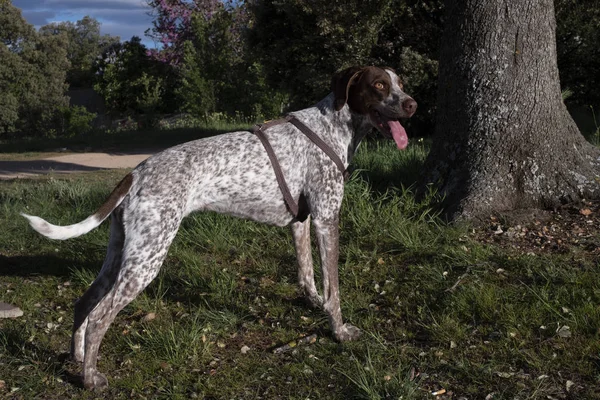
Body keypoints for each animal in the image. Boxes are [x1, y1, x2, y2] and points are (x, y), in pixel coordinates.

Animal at [22, 66, 418, 390]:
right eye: (379, 85)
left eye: (400, 82)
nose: (413, 105)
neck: (332, 127)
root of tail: (136, 172)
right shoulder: (326, 220)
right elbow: (334, 291)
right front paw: (339, 331)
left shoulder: (302, 222)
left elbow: (307, 276)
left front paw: (313, 304)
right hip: (146, 259)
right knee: (100, 317)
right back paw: (90, 379)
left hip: (122, 254)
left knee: (84, 303)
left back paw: (76, 360)